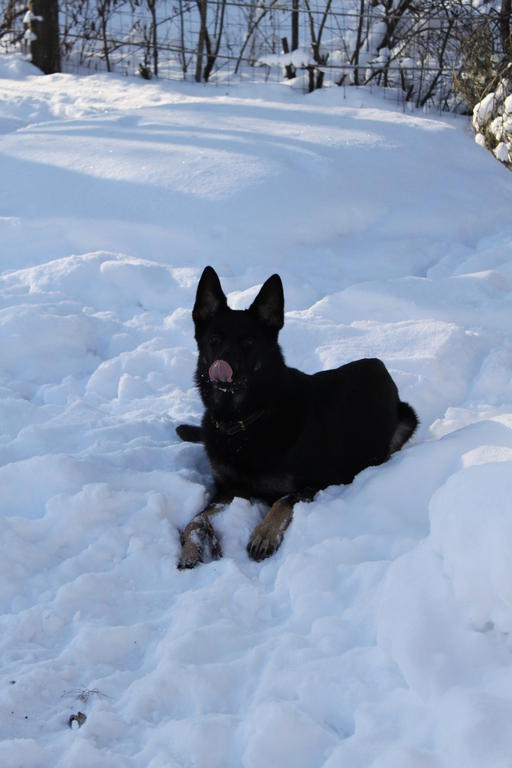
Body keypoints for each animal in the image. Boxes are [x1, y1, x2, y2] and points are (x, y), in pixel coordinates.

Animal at [176, 266, 418, 568]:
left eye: (249, 342)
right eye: (214, 340)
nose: (223, 368)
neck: (245, 421)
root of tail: (379, 365)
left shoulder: (321, 482)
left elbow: (285, 500)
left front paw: (264, 535)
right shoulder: (227, 489)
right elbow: (195, 519)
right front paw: (191, 548)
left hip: (406, 419)